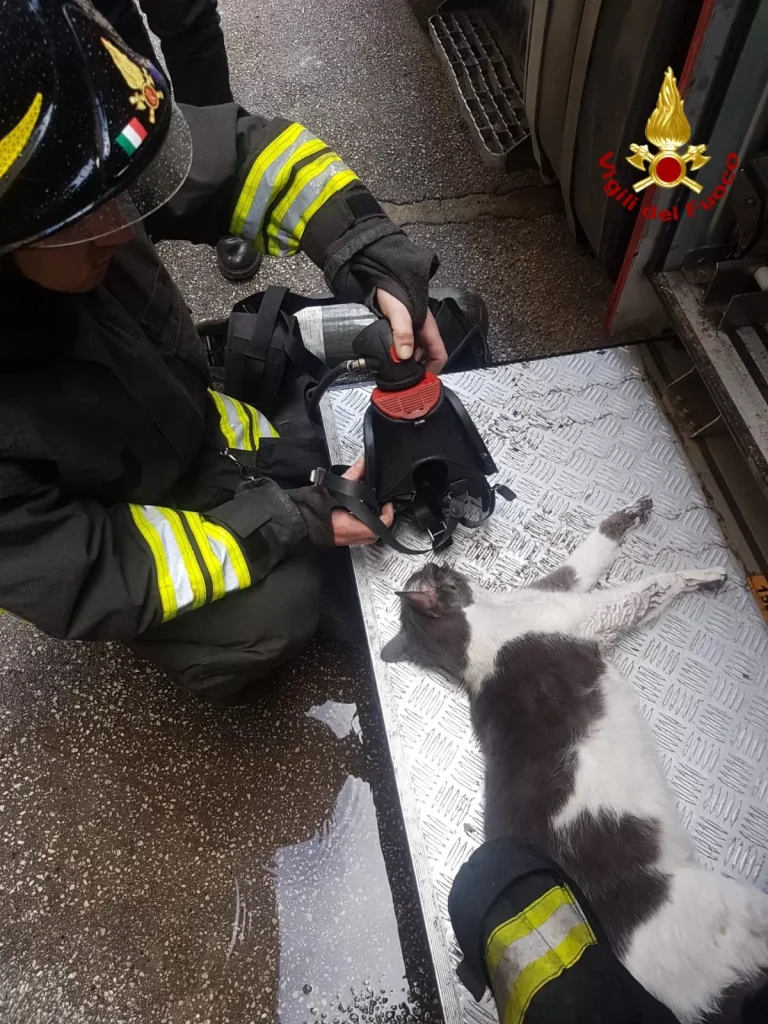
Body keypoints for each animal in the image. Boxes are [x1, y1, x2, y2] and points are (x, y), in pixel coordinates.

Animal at [382, 499, 768, 1024]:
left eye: (433, 572)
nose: (438, 556)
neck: (477, 629)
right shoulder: (591, 613)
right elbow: (652, 585)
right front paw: (705, 574)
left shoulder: (562, 585)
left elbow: (593, 550)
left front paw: (632, 513)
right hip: (730, 909)